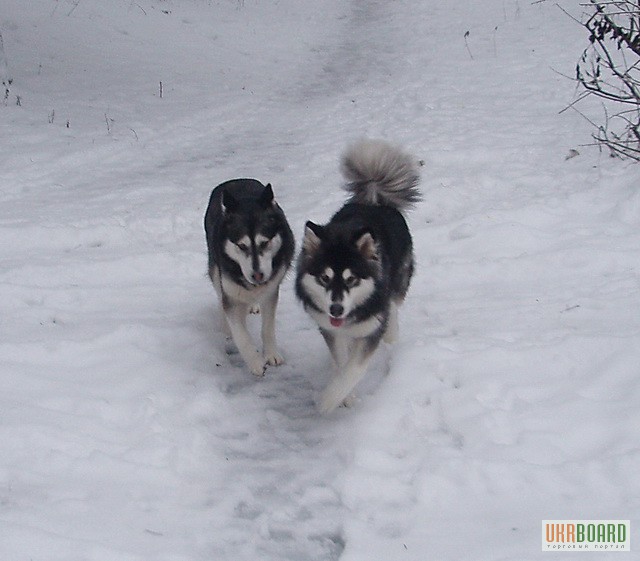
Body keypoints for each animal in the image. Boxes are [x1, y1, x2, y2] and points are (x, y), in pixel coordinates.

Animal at [205, 179, 296, 376]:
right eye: (241, 245)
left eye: (265, 242)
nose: (257, 275)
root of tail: (236, 180)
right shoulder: (230, 292)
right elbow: (240, 334)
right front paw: (255, 361)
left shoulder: (271, 290)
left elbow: (267, 327)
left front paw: (271, 354)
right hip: (215, 268)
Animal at [296, 139, 424, 412]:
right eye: (324, 278)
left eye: (351, 279)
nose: (335, 309)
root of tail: (373, 201)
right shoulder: (331, 329)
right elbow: (341, 362)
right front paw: (345, 395)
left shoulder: (371, 328)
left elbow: (354, 369)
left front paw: (329, 400)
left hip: (397, 282)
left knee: (392, 308)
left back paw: (392, 339)